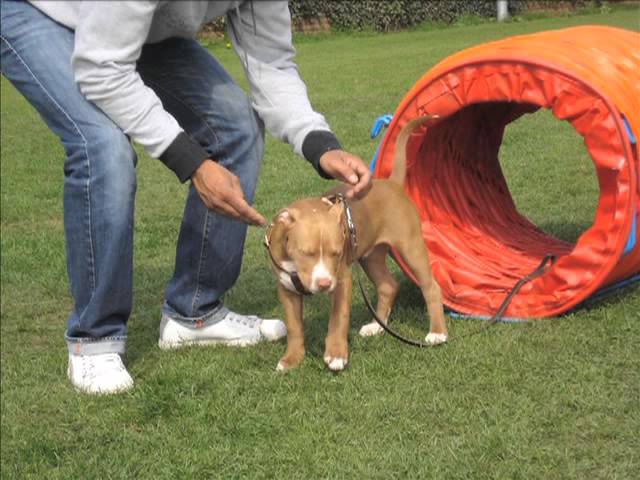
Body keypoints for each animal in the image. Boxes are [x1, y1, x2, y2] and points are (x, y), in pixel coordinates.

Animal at [264, 115, 444, 372]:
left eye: (336, 253)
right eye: (306, 253)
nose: (324, 284)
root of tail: (392, 184)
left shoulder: (342, 279)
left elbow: (337, 319)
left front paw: (336, 355)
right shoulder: (287, 288)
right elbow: (294, 326)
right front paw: (292, 359)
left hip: (411, 248)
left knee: (431, 287)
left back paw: (437, 333)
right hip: (371, 256)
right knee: (388, 286)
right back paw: (376, 326)